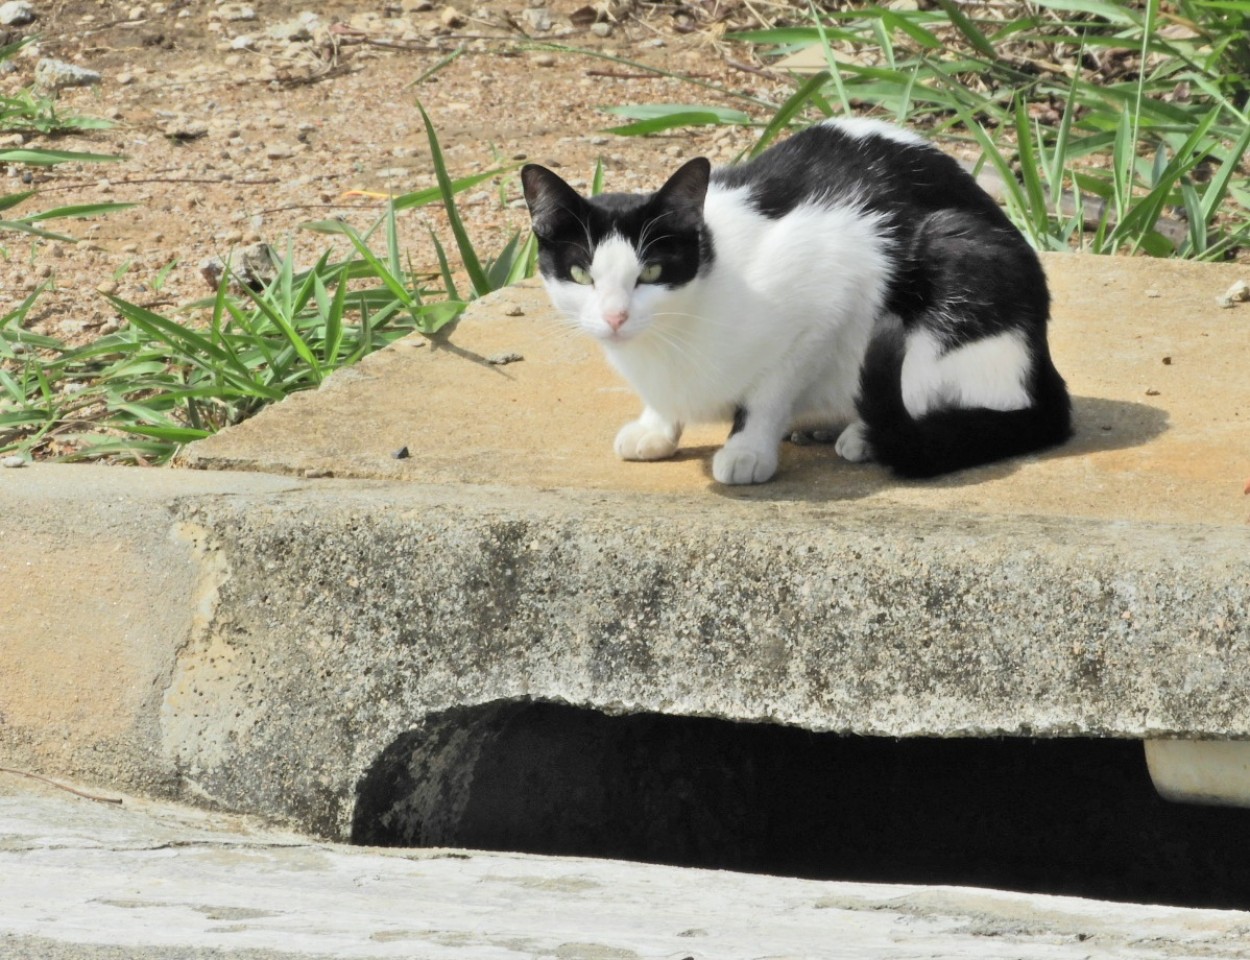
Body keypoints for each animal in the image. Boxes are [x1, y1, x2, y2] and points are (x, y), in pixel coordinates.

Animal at [522, 116, 1070, 485]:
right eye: (581, 274)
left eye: (652, 272)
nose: (615, 317)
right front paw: (656, 427)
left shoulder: (823, 301)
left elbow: (767, 394)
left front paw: (747, 450)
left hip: (955, 261)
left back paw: (864, 433)